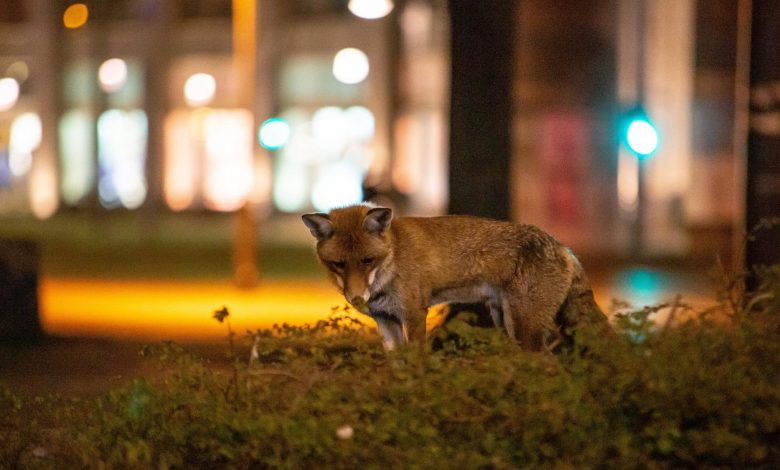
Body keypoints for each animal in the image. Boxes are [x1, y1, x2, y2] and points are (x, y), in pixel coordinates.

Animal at [302, 204, 608, 350]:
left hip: (523, 328)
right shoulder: (386, 320)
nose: (356, 299)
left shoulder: (414, 315)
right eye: (339, 264)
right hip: (504, 321)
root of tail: (564, 246)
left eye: (368, 261)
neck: (392, 259)